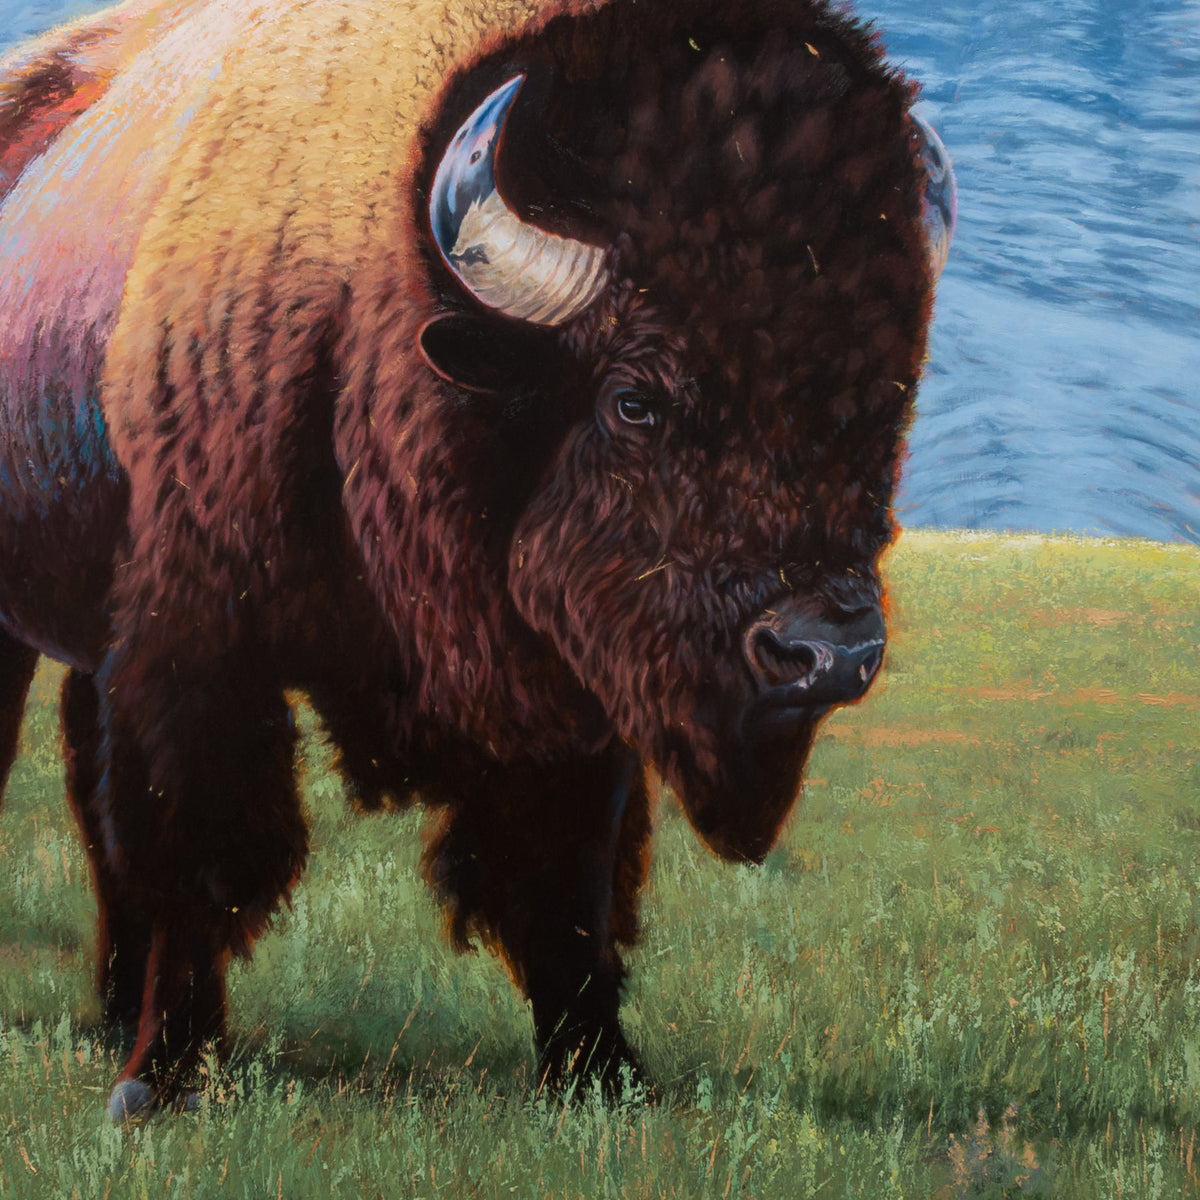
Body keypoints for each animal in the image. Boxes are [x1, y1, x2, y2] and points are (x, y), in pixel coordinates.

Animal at [0, 0, 954, 1118]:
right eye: (635, 399)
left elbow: (565, 882)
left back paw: (113, 1009)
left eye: (885, 401)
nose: (828, 652)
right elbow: (201, 848)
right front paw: (164, 1083)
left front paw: (600, 1078)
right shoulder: (196, 643)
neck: (375, 295)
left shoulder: (566, 698)